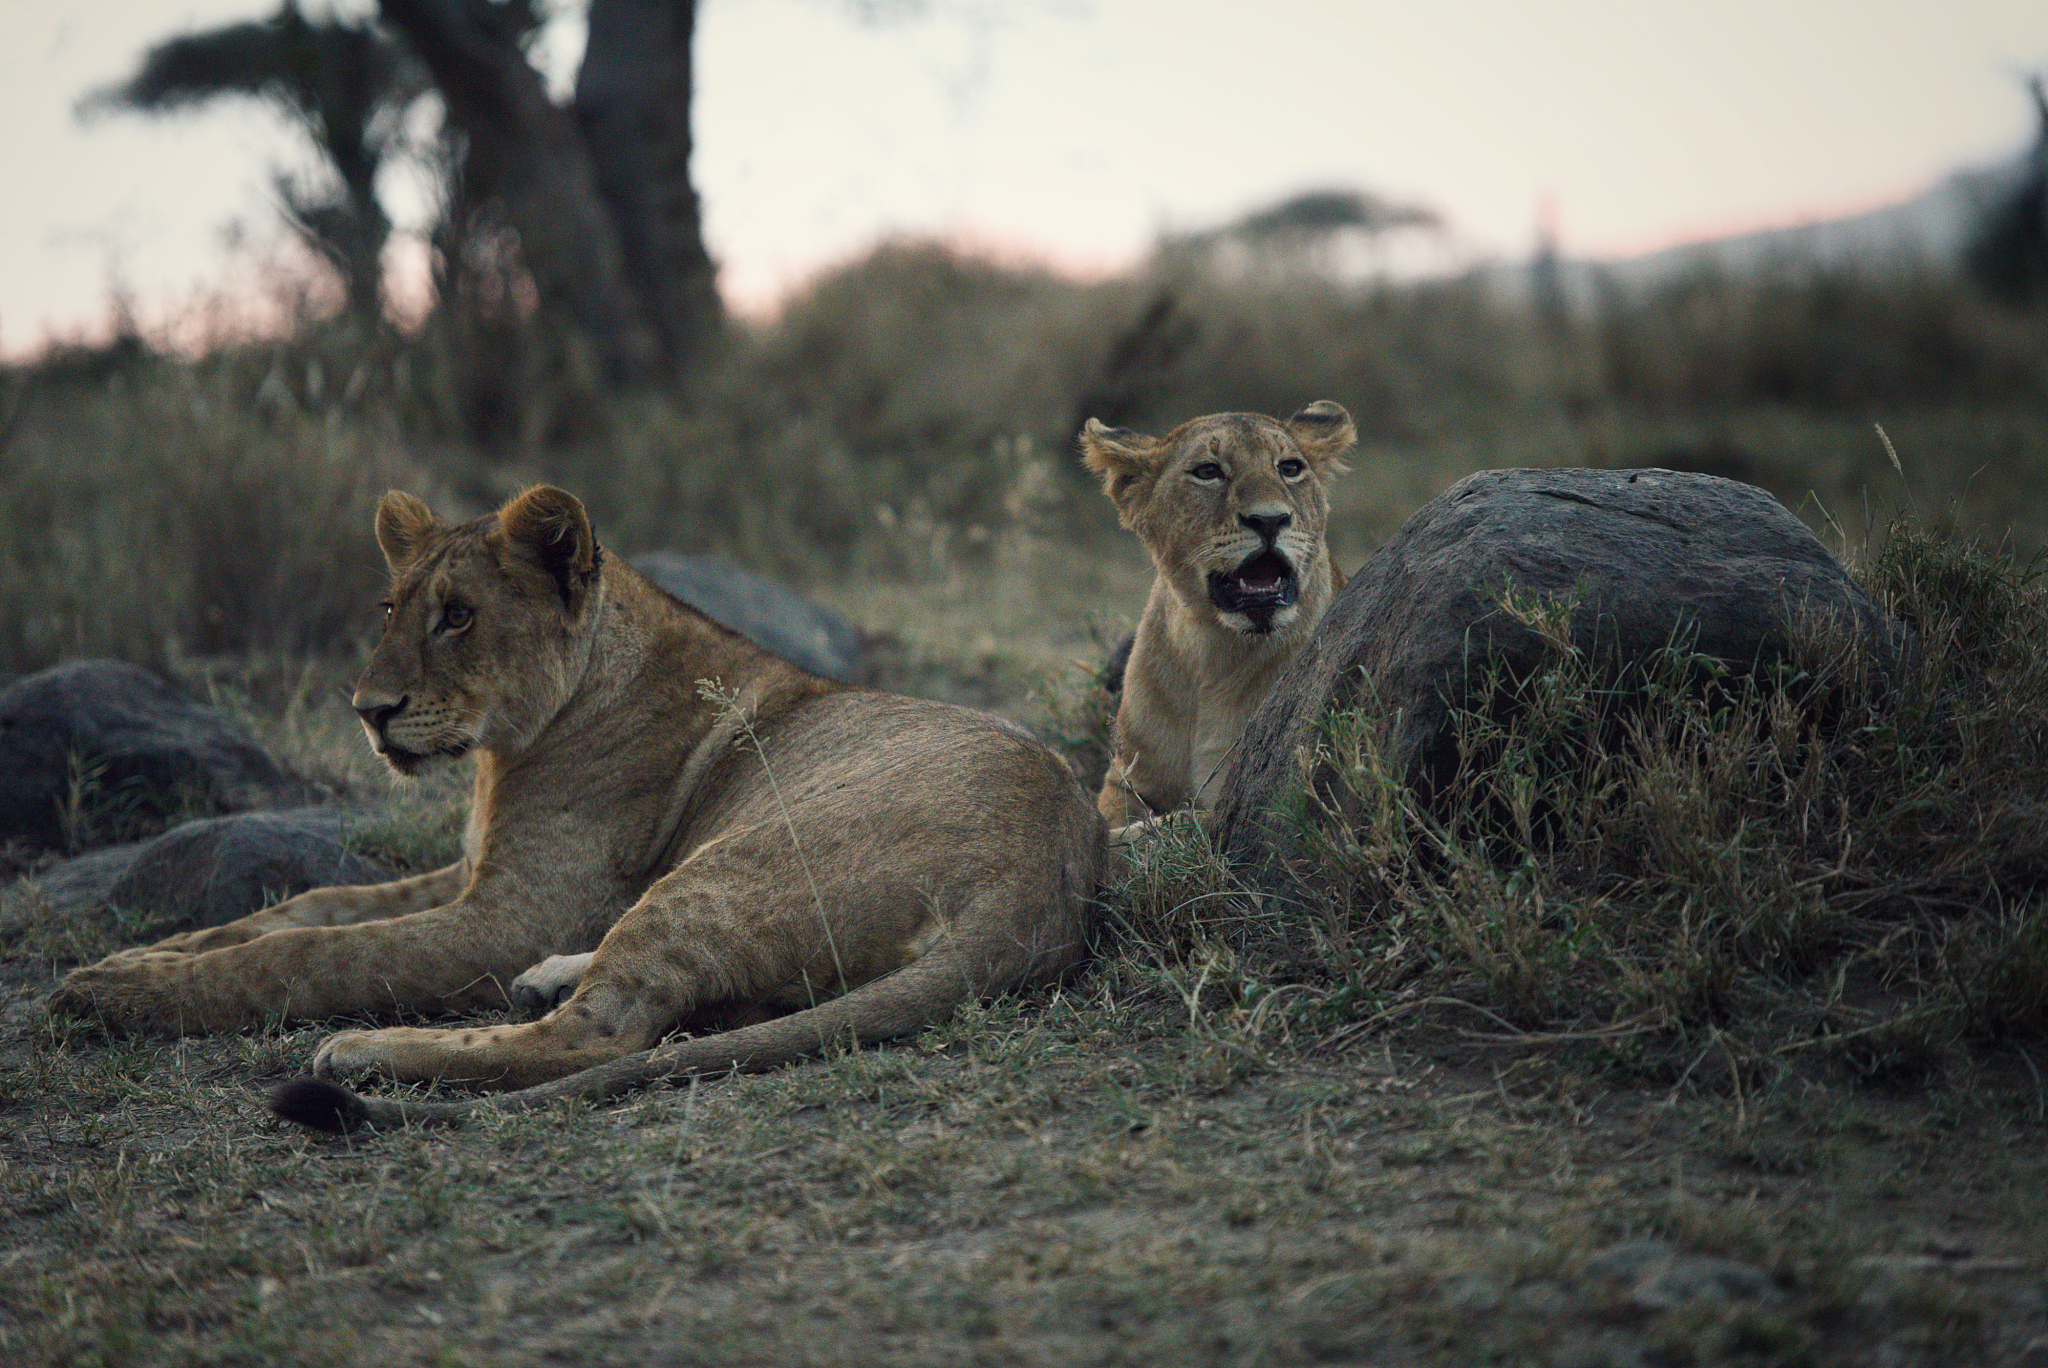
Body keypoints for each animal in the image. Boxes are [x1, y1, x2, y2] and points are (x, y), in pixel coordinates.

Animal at [51, 485, 1105, 1132]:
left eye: (459, 616)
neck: (502, 753)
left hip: (727, 867)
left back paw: (364, 1051)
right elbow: (300, 908)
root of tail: (1048, 882)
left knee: (598, 1035)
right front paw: (125, 963)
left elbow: (313, 953)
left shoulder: (506, 913)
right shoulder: (472, 871)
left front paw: (109, 998)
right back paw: (541, 982)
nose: (368, 711)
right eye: (391, 609)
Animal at [1080, 401, 1355, 832]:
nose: (1270, 520)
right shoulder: (1125, 784)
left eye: (1289, 467)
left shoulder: (1245, 797)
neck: (1211, 650)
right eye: (1208, 471)